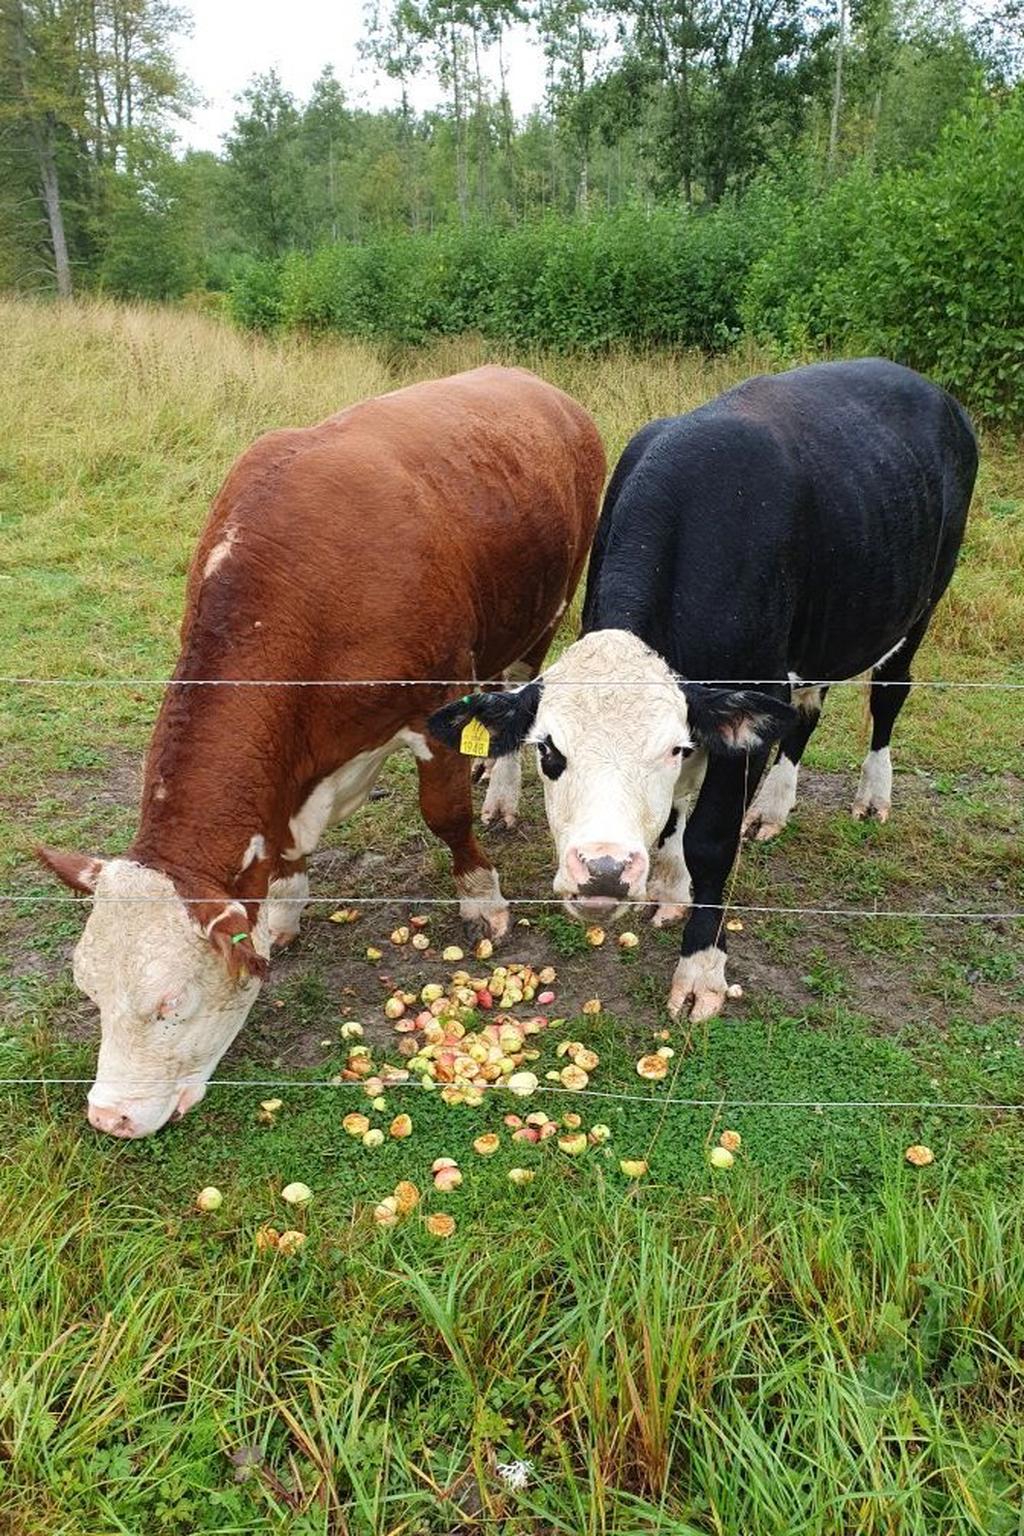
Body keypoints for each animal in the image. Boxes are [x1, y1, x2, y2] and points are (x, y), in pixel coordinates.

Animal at [40, 365, 604, 1142]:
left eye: (170, 1004)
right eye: (89, 992)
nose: (110, 1117)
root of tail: (529, 380)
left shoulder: (436, 706)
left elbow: (445, 815)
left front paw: (481, 896)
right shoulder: (291, 761)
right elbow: (280, 850)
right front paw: (281, 913)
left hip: (543, 611)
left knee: (516, 689)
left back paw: (501, 791)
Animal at [429, 362, 982, 1019]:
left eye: (668, 748)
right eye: (548, 751)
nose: (605, 870)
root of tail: (924, 387)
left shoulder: (745, 702)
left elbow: (712, 840)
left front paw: (701, 967)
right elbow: (677, 808)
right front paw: (671, 884)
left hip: (920, 604)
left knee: (889, 693)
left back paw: (873, 794)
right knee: (806, 712)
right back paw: (772, 808)